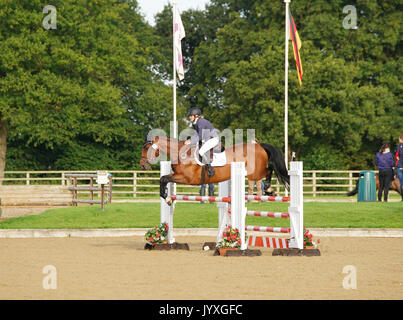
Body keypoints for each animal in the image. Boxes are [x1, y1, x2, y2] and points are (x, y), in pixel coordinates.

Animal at [140, 136, 288, 205]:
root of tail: (259, 145)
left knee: (269, 170)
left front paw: (167, 198)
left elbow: (164, 178)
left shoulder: (186, 178)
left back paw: (269, 189)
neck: (181, 153)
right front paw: (168, 198)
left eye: (147, 148)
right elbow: (163, 179)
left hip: (255, 173)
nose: (142, 165)